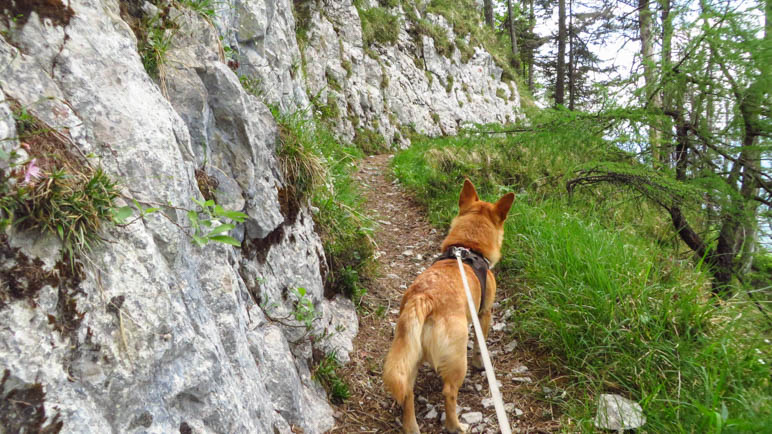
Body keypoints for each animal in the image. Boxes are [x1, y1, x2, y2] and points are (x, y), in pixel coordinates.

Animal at [382, 178, 512, 432]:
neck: (467, 247)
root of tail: (424, 298)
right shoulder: (484, 314)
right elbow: (480, 345)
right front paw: (480, 363)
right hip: (457, 358)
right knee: (449, 393)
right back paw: (455, 425)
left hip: (409, 354)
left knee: (408, 393)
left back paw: (411, 426)